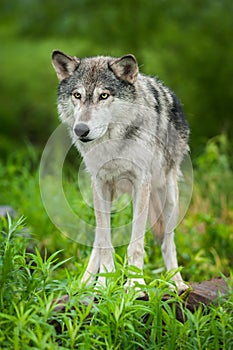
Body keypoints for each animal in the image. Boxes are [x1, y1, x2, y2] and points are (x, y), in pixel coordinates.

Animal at [51, 48, 189, 290]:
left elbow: (136, 245)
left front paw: (134, 285)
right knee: (98, 241)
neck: (112, 146)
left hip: (168, 197)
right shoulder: (99, 184)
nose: (81, 130)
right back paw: (84, 283)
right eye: (77, 95)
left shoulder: (141, 183)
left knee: (167, 244)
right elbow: (104, 243)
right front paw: (103, 284)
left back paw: (177, 283)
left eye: (104, 96)